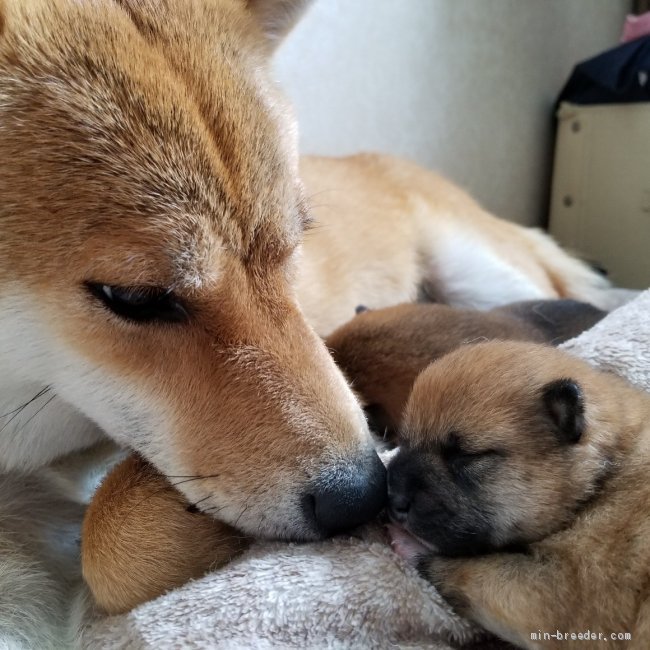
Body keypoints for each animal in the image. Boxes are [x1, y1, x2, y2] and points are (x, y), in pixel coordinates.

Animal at [384, 342, 648, 644]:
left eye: (466, 456)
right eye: (403, 440)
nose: (391, 497)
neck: (604, 472)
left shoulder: (558, 591)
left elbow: (469, 570)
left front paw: (408, 543)